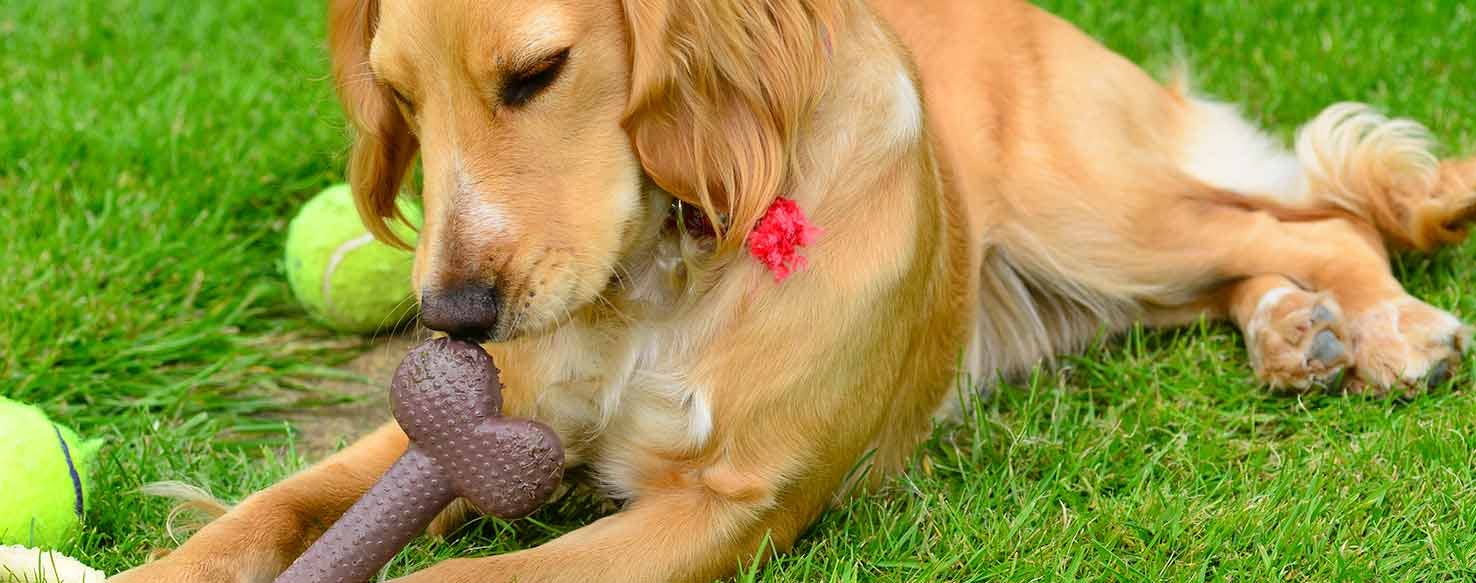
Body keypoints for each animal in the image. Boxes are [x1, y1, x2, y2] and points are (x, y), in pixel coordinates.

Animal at [118, 0, 1476, 581]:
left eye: (537, 73)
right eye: (396, 94)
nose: (452, 320)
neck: (653, 281)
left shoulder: (730, 504)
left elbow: (463, 580)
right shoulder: (458, 431)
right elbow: (267, 509)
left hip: (1093, 210)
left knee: (1314, 216)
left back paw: (1387, 327)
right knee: (1250, 251)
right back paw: (1295, 330)